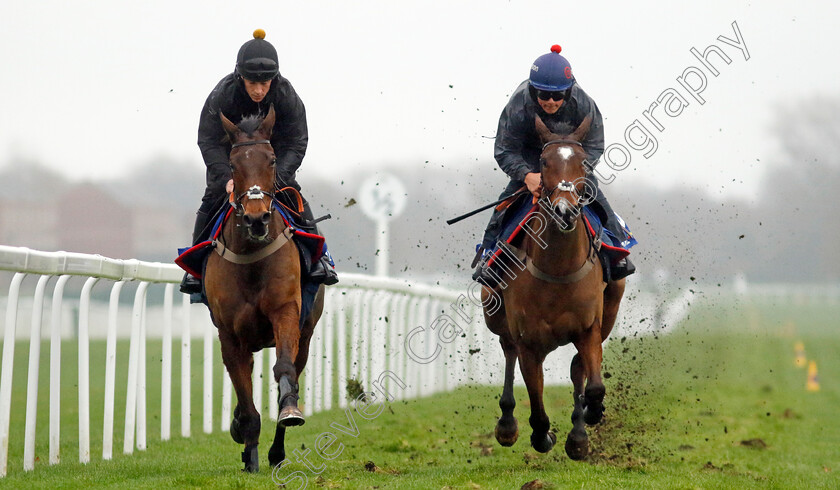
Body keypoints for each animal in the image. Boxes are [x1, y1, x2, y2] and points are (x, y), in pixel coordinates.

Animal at [203, 105, 324, 472]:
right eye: (233, 164)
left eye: (271, 160)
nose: (257, 219)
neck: (251, 258)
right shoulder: (229, 333)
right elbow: (244, 398)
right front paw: (249, 452)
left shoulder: (286, 312)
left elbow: (284, 370)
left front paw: (289, 413)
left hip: (306, 335)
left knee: (293, 369)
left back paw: (277, 450)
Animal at [482, 115, 628, 460]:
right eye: (544, 162)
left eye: (583, 162)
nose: (565, 211)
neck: (558, 269)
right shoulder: (529, 343)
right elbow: (536, 403)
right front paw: (541, 435)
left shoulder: (589, 329)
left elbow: (594, 385)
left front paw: (589, 417)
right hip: (494, 313)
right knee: (507, 350)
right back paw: (507, 424)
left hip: (608, 312)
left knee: (577, 369)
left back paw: (578, 433)